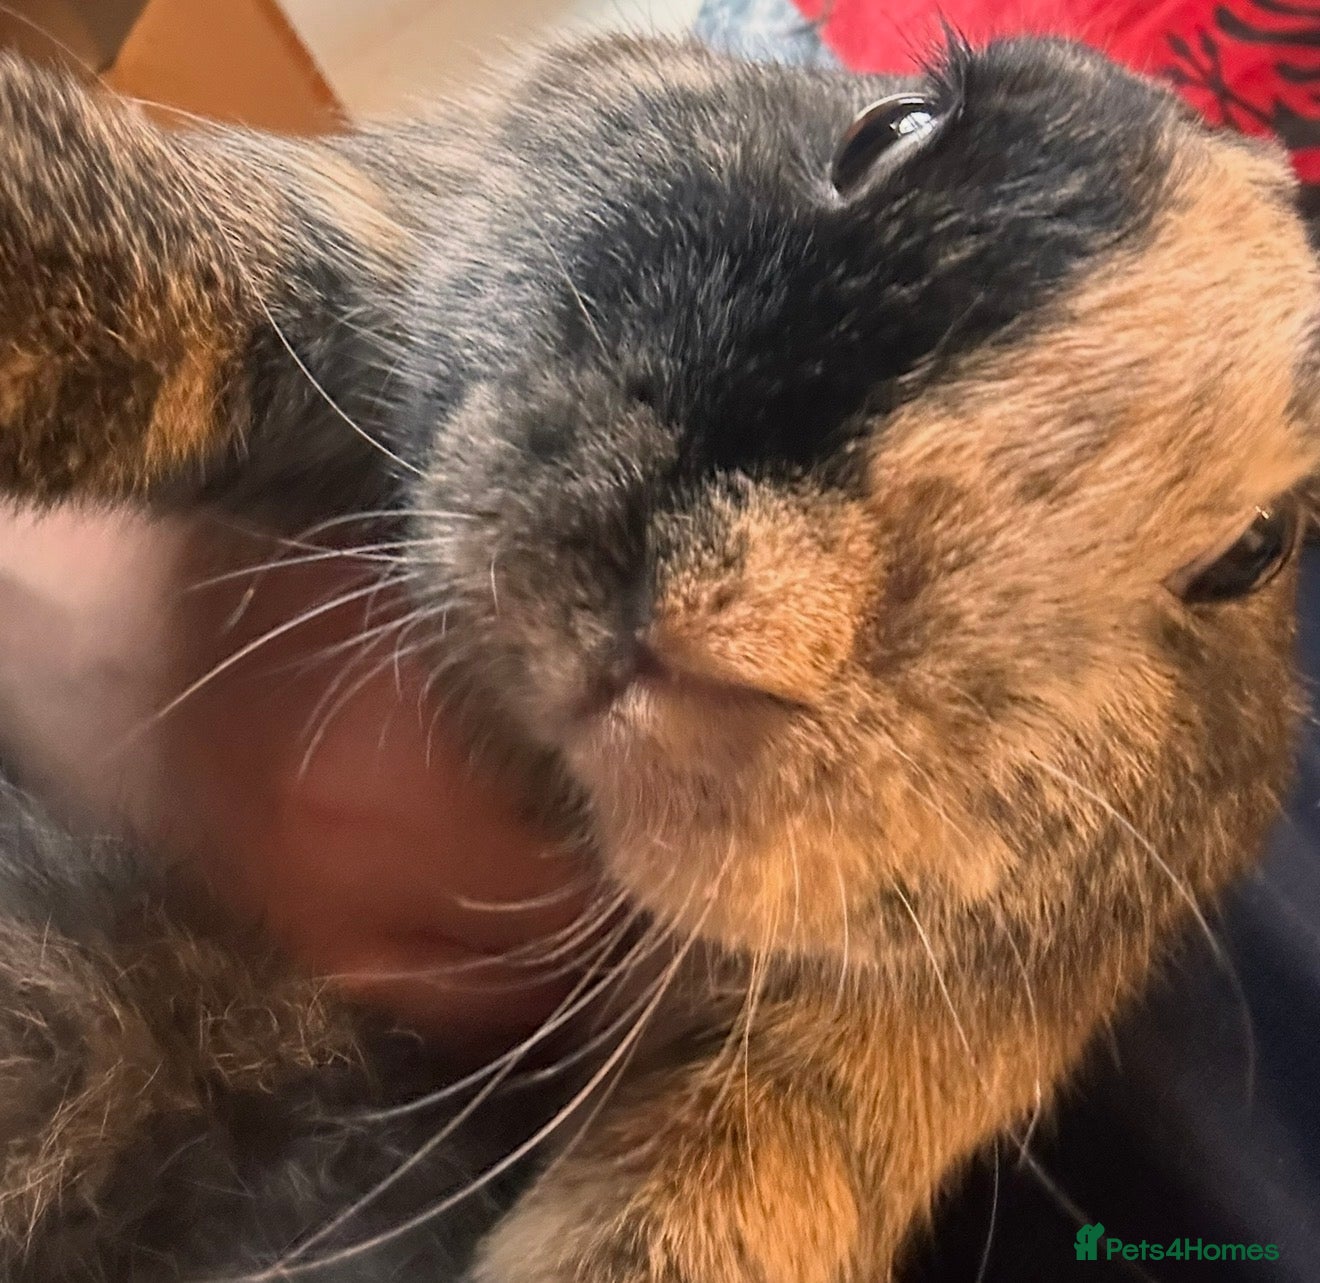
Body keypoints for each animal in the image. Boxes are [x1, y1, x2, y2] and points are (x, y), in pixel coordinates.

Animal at [0, 27, 1313, 1283]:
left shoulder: (865, 1060)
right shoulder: (375, 232)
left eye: (1255, 550)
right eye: (888, 134)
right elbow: (175, 257)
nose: (720, 610)